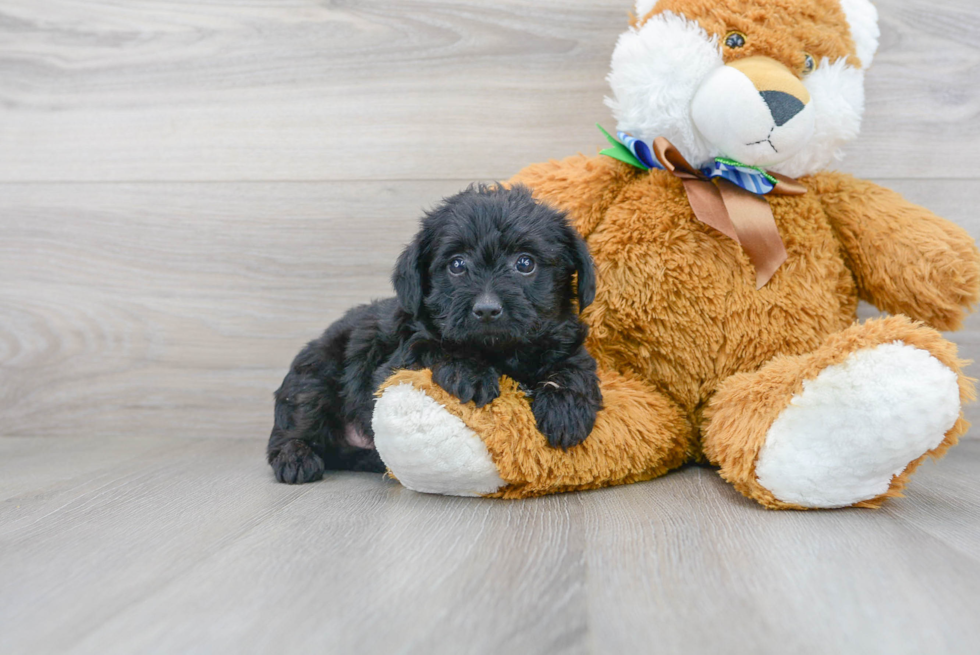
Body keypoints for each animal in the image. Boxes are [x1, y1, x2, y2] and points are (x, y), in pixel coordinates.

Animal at [270, 183, 604, 482]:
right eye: (457, 264)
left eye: (525, 263)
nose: (486, 309)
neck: (501, 351)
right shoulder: (393, 365)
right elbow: (434, 346)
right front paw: (470, 372)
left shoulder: (566, 343)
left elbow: (574, 367)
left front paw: (565, 409)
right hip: (315, 377)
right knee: (295, 425)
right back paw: (295, 458)